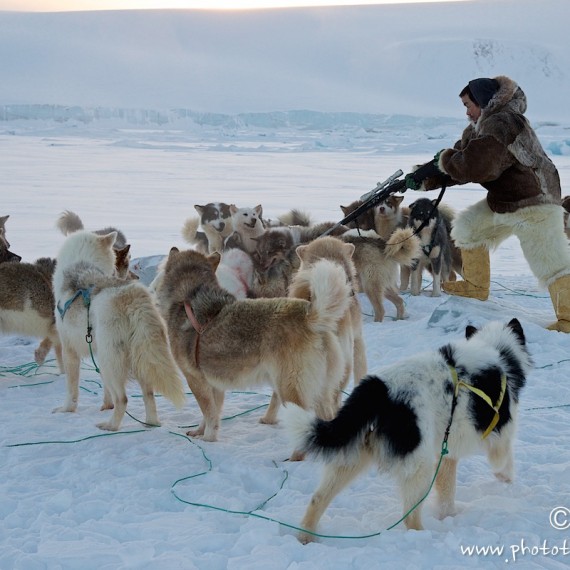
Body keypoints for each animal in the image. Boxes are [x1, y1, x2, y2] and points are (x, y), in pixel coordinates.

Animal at [52, 229, 183, 428]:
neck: (82, 265)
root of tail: (131, 297)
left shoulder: (70, 351)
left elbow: (72, 390)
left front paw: (67, 409)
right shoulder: (97, 351)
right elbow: (106, 390)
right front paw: (106, 405)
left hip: (111, 361)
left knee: (123, 399)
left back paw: (110, 426)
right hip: (137, 357)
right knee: (148, 395)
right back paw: (151, 423)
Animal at [156, 247, 350, 444]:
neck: (188, 298)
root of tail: (309, 316)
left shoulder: (196, 380)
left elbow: (209, 414)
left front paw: (208, 439)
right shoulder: (214, 385)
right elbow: (211, 413)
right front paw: (200, 432)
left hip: (290, 390)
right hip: (319, 393)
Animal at [286, 318, 532, 540]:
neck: (499, 352)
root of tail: (380, 389)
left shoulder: (447, 451)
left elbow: (446, 491)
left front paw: (448, 514)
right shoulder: (500, 435)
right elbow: (504, 461)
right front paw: (505, 479)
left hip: (351, 458)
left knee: (318, 499)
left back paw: (306, 537)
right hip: (419, 466)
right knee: (409, 515)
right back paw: (423, 537)